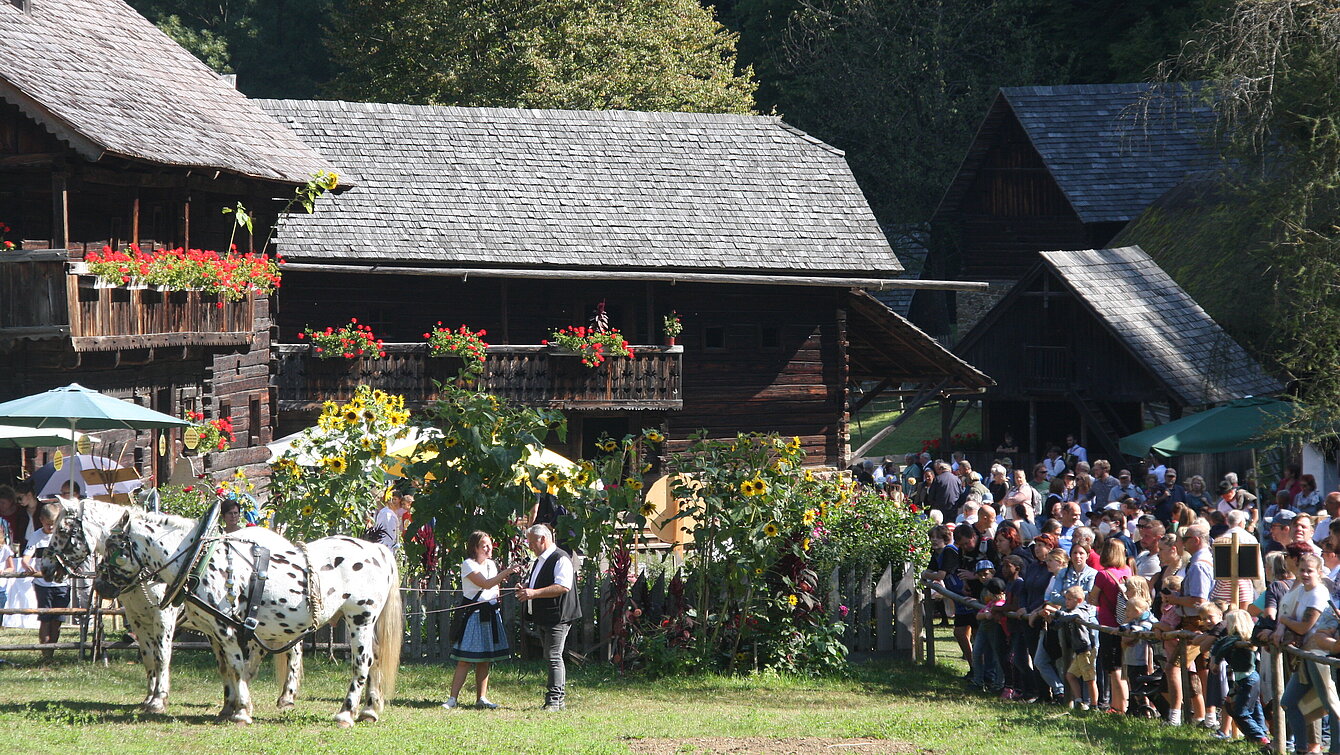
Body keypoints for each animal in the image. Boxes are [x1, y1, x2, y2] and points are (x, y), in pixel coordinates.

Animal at [40, 498, 306, 718]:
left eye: (62, 530)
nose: (45, 567)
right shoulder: (139, 620)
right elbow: (149, 657)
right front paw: (149, 698)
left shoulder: (163, 617)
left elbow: (162, 656)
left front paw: (159, 700)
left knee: (291, 649)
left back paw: (286, 697)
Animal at [95, 504, 402, 724]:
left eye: (112, 545)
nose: (100, 585)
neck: (198, 559)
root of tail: (377, 550)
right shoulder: (212, 630)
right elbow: (227, 668)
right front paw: (229, 707)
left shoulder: (222, 628)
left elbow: (234, 665)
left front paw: (241, 710)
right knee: (375, 658)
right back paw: (369, 710)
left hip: (360, 617)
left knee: (363, 661)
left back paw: (346, 713)